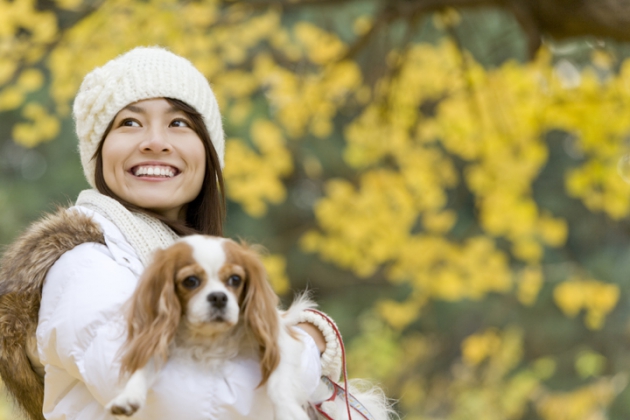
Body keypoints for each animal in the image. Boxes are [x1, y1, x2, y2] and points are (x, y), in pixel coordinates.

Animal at [107, 236, 320, 420]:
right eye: (190, 281)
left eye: (235, 279)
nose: (218, 297)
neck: (211, 336)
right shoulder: (159, 340)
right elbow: (143, 368)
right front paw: (128, 397)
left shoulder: (280, 339)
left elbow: (279, 380)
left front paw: (288, 412)